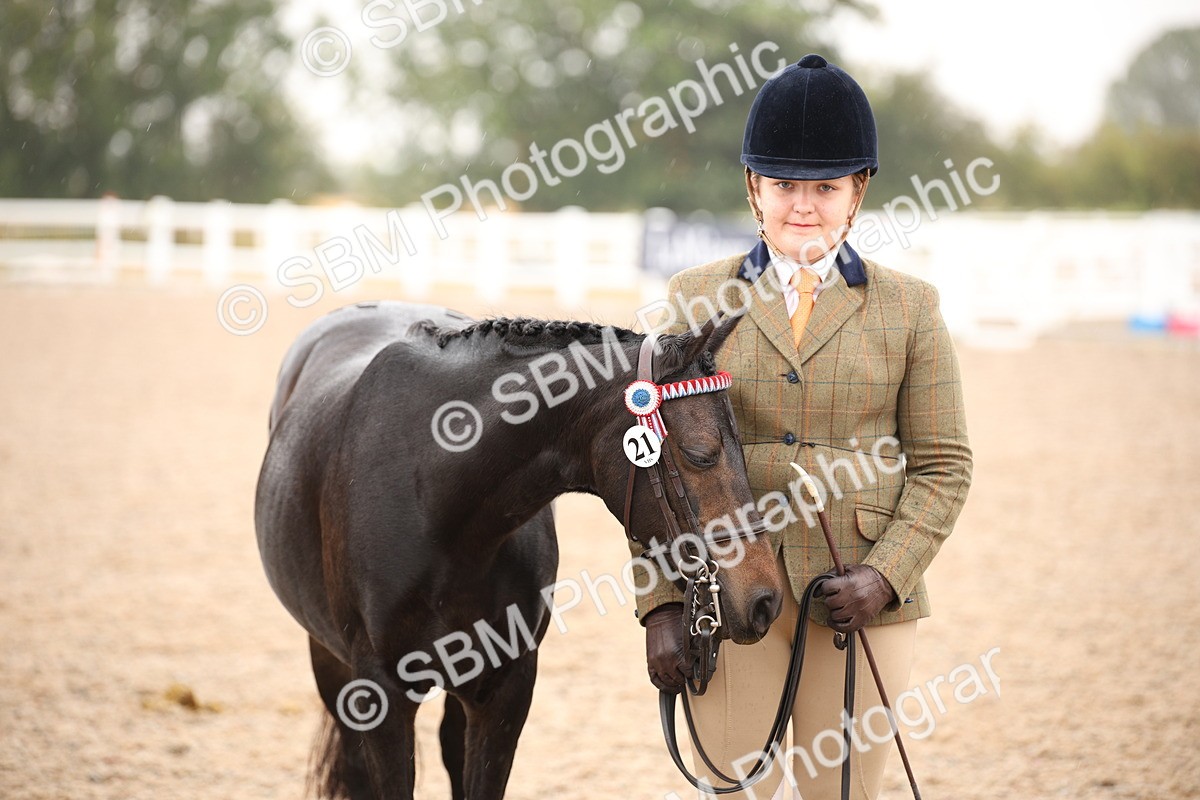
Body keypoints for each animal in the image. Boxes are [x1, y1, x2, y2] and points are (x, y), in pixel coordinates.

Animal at [254, 300, 785, 800]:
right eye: (701, 454)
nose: (766, 600)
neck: (441, 511)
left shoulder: (505, 692)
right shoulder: (382, 697)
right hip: (331, 664)